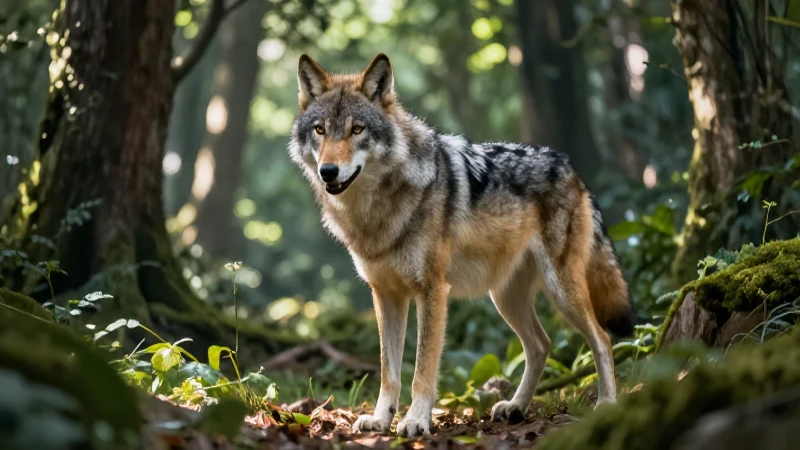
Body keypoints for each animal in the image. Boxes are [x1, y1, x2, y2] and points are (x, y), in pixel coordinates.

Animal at [288, 53, 636, 437]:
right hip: (505, 298)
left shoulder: (432, 291)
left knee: (602, 339)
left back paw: (606, 405)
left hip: (561, 290)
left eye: (358, 130)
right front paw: (381, 420)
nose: (328, 171)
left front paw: (415, 421)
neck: (377, 212)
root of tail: (569, 166)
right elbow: (388, 371)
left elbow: (422, 369)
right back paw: (515, 407)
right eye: (320, 130)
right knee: (541, 345)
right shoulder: (386, 294)